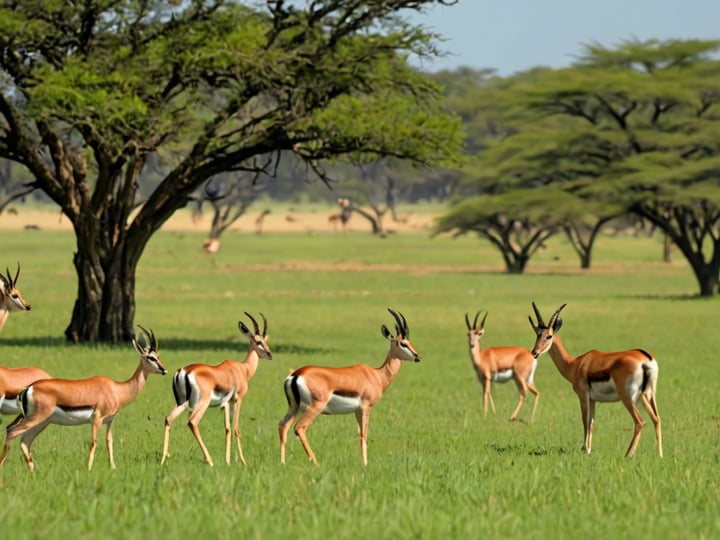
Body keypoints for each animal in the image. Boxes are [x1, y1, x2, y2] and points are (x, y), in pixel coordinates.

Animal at [0, 327, 167, 472]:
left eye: (159, 356)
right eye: (151, 357)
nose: (164, 370)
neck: (117, 389)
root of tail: (29, 388)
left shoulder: (109, 421)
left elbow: (109, 442)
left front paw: (113, 468)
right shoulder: (97, 419)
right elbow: (93, 443)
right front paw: (88, 469)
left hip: (42, 422)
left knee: (24, 441)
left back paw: (33, 472)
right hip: (36, 419)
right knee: (12, 432)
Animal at [161, 312, 272, 466]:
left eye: (264, 340)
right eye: (258, 341)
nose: (269, 354)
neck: (243, 369)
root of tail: (182, 371)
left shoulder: (226, 403)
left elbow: (227, 428)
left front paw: (228, 461)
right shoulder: (238, 399)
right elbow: (236, 428)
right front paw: (243, 461)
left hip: (181, 403)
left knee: (168, 419)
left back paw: (163, 459)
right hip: (202, 403)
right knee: (192, 422)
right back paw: (210, 460)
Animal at [278, 308, 421, 466]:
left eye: (409, 341)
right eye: (403, 343)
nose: (417, 357)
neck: (377, 375)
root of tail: (296, 374)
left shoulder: (357, 410)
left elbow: (359, 434)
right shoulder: (365, 407)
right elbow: (364, 434)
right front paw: (365, 465)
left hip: (294, 408)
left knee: (282, 425)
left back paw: (282, 463)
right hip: (314, 407)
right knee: (299, 428)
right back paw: (316, 462)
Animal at [528, 302, 662, 458]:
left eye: (549, 336)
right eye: (537, 334)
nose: (534, 352)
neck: (575, 364)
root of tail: (646, 359)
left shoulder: (583, 396)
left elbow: (585, 421)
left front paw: (586, 450)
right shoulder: (592, 399)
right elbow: (591, 423)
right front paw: (589, 450)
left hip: (628, 398)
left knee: (640, 421)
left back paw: (627, 455)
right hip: (648, 395)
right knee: (656, 419)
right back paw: (660, 455)